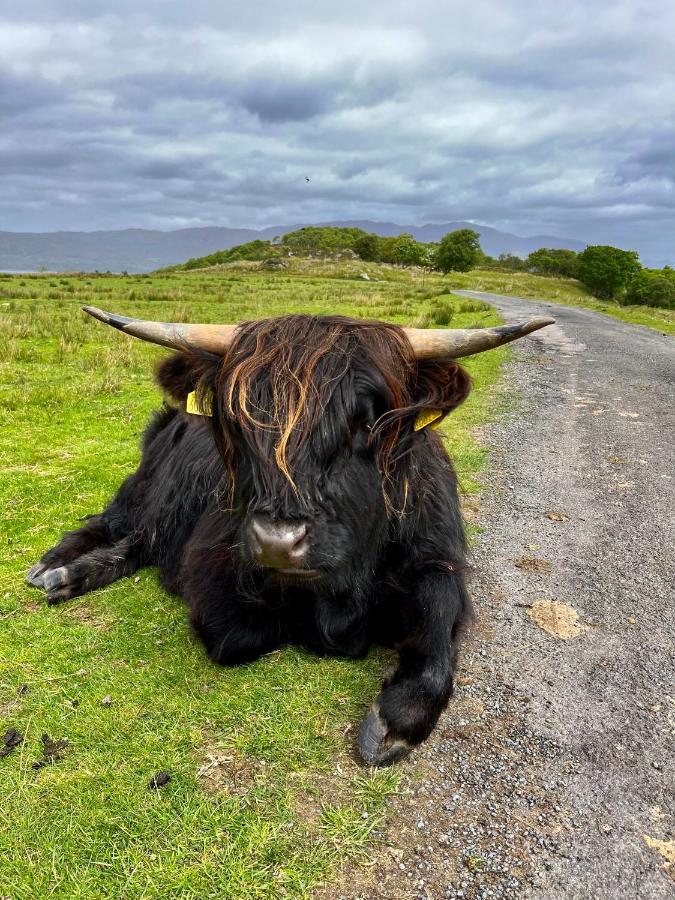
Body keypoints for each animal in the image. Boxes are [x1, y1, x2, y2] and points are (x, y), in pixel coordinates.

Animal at [29, 310, 552, 768]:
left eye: (367, 422)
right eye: (237, 424)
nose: (277, 542)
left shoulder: (439, 559)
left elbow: (439, 620)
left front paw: (394, 724)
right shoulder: (214, 574)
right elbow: (241, 633)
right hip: (146, 490)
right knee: (119, 528)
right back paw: (56, 568)